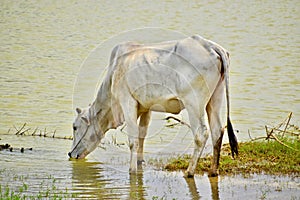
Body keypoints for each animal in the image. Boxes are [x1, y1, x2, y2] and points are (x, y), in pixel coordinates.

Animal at [69, 35, 238, 177]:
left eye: (75, 127)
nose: (70, 154)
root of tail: (209, 45)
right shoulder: (145, 108)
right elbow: (142, 135)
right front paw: (139, 162)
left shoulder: (127, 102)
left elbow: (133, 140)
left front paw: (132, 170)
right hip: (215, 98)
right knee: (217, 130)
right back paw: (213, 171)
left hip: (194, 103)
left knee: (201, 134)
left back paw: (189, 172)